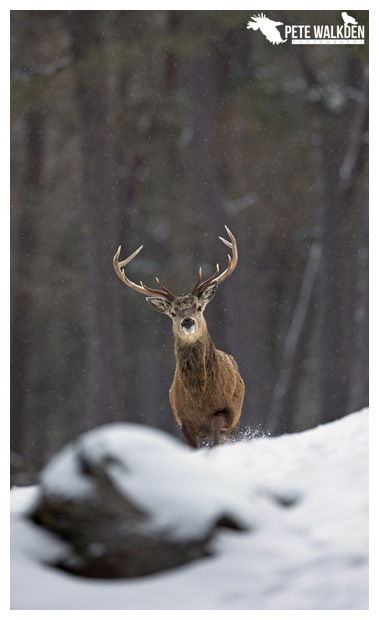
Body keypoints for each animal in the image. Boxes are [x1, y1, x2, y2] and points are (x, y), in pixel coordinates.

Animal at [113, 225, 246, 448]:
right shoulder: (184, 422)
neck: (200, 399)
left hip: (236, 422)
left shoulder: (225, 414)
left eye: (199, 307)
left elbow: (217, 437)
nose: (187, 321)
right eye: (173, 313)